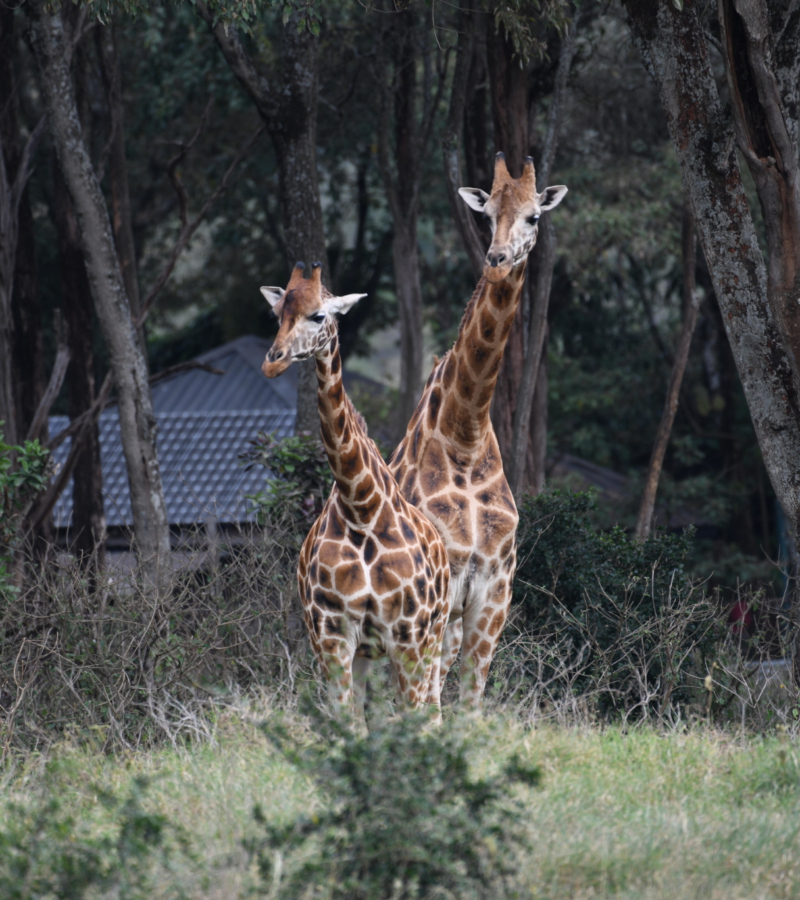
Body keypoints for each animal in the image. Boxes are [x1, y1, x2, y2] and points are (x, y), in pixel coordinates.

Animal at [260, 262, 450, 724]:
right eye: (277, 315)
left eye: (319, 316)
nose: (273, 363)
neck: (360, 507)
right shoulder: (332, 639)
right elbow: (350, 724)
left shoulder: (408, 637)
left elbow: (412, 722)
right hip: (368, 654)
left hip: (434, 637)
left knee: (433, 713)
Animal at [390, 151, 568, 708]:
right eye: (487, 215)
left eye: (534, 215)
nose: (498, 257)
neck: (464, 434)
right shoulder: (442, 587)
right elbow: (430, 703)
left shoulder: (495, 589)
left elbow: (470, 704)